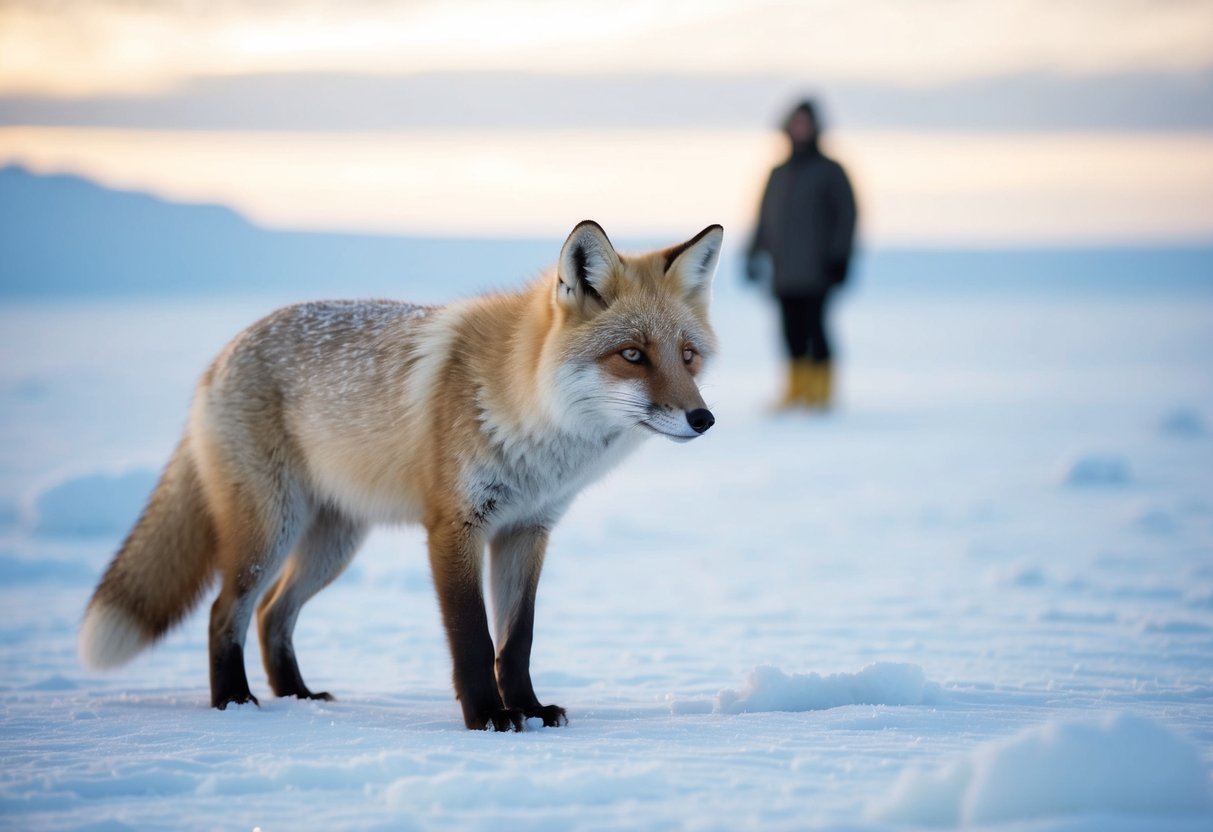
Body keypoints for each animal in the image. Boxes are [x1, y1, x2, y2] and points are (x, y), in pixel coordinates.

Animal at [79, 220, 722, 731]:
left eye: (687, 356)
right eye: (632, 355)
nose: (704, 418)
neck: (528, 414)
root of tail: (222, 355)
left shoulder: (526, 530)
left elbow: (517, 640)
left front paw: (529, 708)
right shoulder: (454, 526)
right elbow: (473, 638)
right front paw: (489, 718)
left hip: (334, 543)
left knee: (271, 615)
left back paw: (298, 697)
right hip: (270, 531)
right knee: (223, 612)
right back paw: (234, 702)